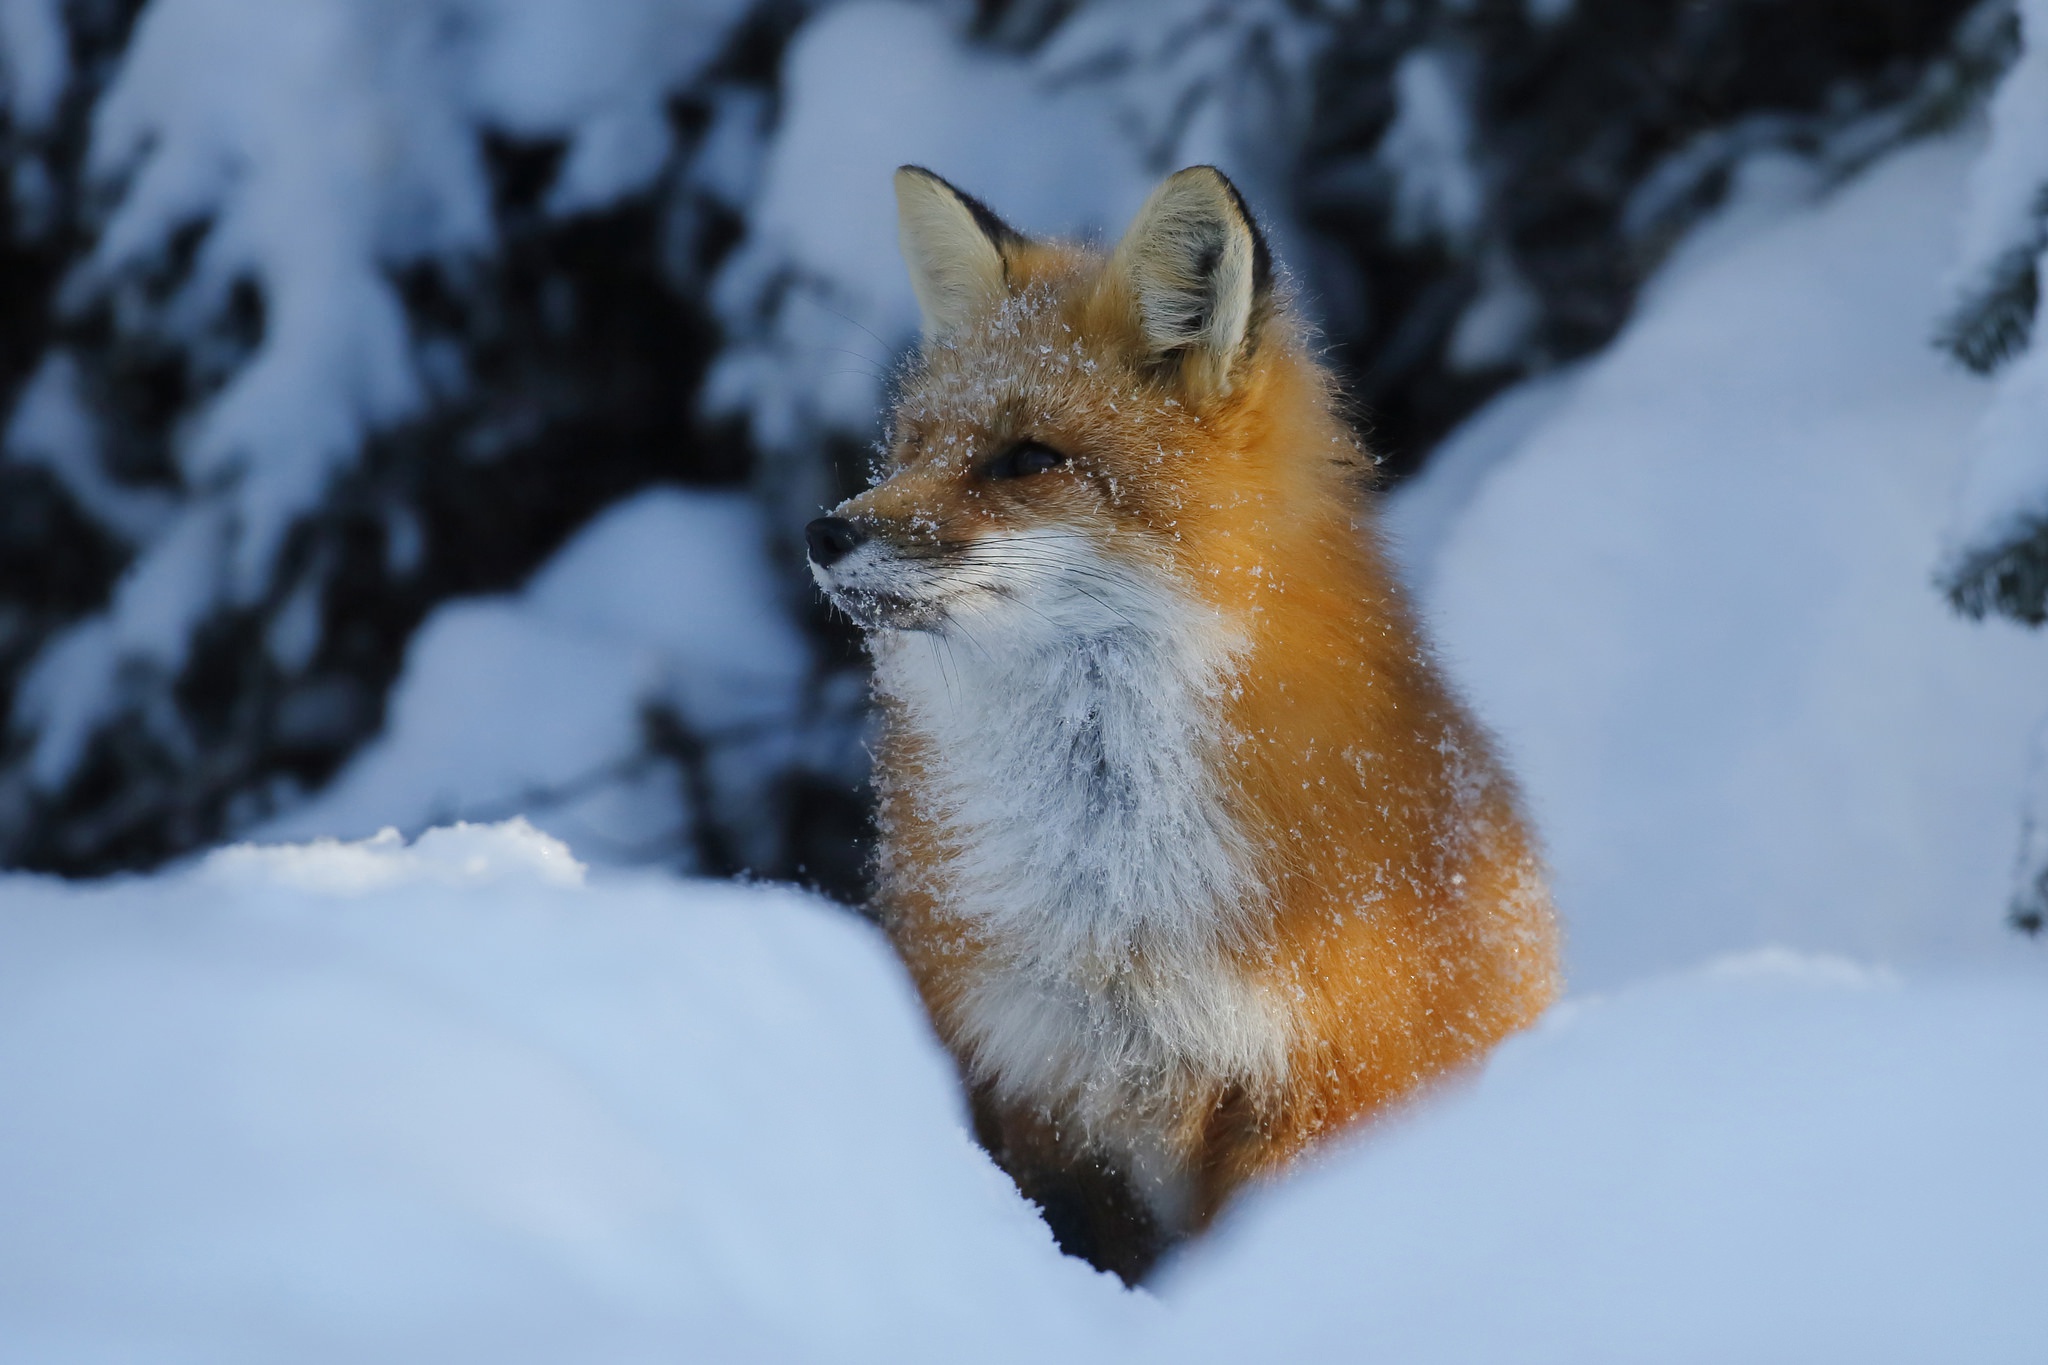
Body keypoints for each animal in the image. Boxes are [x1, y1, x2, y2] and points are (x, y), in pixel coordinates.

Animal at [806, 162, 1556, 1285]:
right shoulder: (1035, 1083)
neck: (1112, 901)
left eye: (1027, 459)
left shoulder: (1316, 1081)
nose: (823, 532)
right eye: (911, 447)